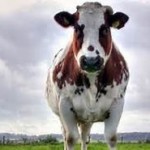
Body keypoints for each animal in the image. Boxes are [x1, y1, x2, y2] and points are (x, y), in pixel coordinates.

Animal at [45, 1, 129, 150]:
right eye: (77, 29)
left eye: (105, 29)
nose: (91, 61)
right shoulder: (64, 105)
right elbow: (71, 138)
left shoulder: (118, 102)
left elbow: (111, 137)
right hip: (63, 117)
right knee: (66, 136)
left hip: (87, 119)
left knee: (85, 137)